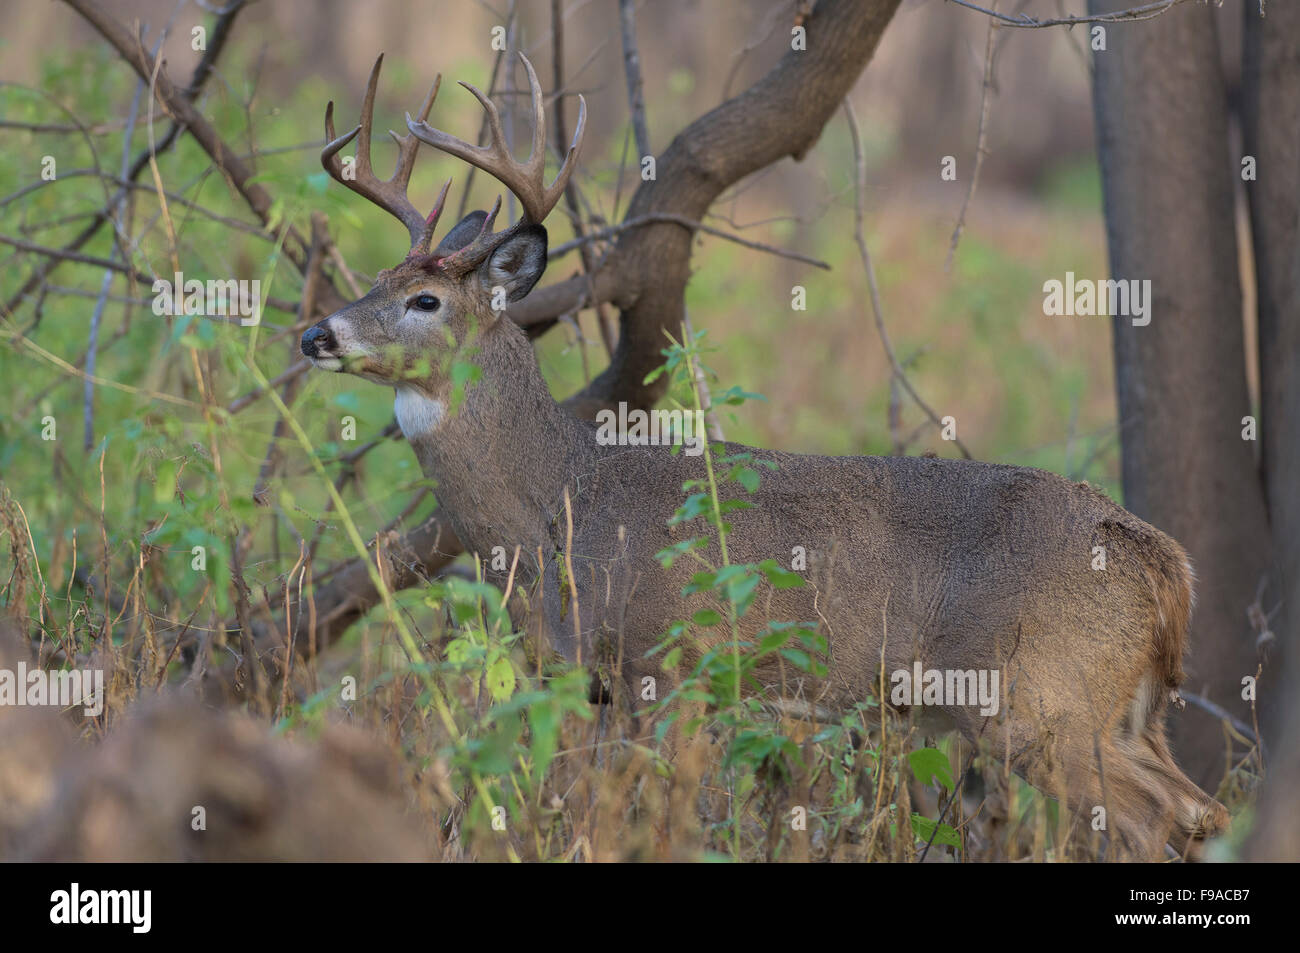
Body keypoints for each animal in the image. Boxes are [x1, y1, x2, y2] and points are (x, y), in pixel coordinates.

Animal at [300, 53, 1229, 861]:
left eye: (425, 299)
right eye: (376, 280)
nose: (316, 333)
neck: (562, 505)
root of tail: (1165, 561)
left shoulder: (669, 664)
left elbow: (648, 817)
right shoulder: (598, 684)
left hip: (1040, 698)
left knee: (1156, 817)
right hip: (1124, 710)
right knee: (1201, 810)